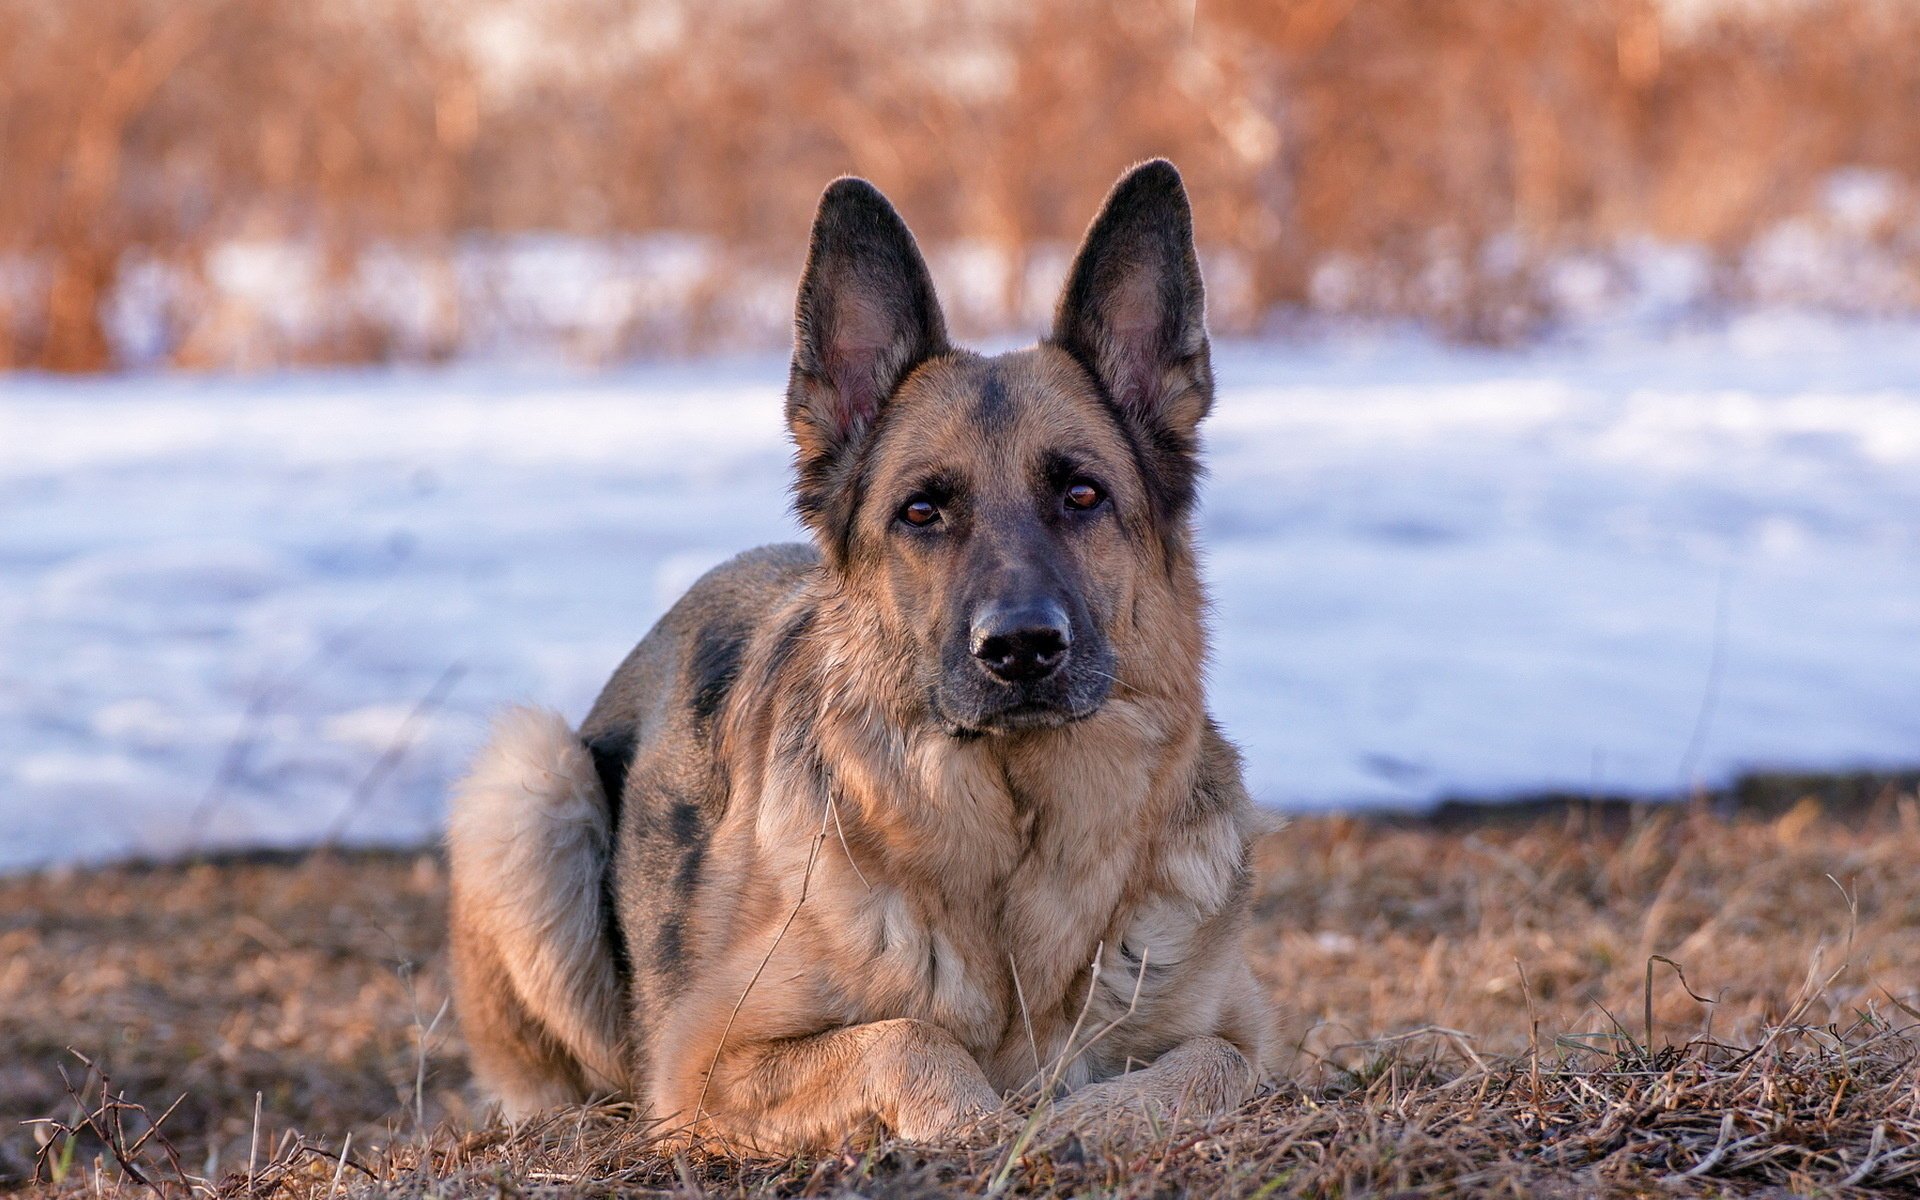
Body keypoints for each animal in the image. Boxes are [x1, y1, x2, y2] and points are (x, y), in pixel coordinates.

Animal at [447, 159, 1274, 1152]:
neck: (1016, 843)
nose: (1021, 648)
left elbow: (1212, 1064)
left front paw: (1091, 1117)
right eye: (921, 512)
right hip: (528, 780)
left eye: (1083, 494)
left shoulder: (1251, 1040)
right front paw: (985, 1125)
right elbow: (906, 1038)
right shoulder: (701, 1069)